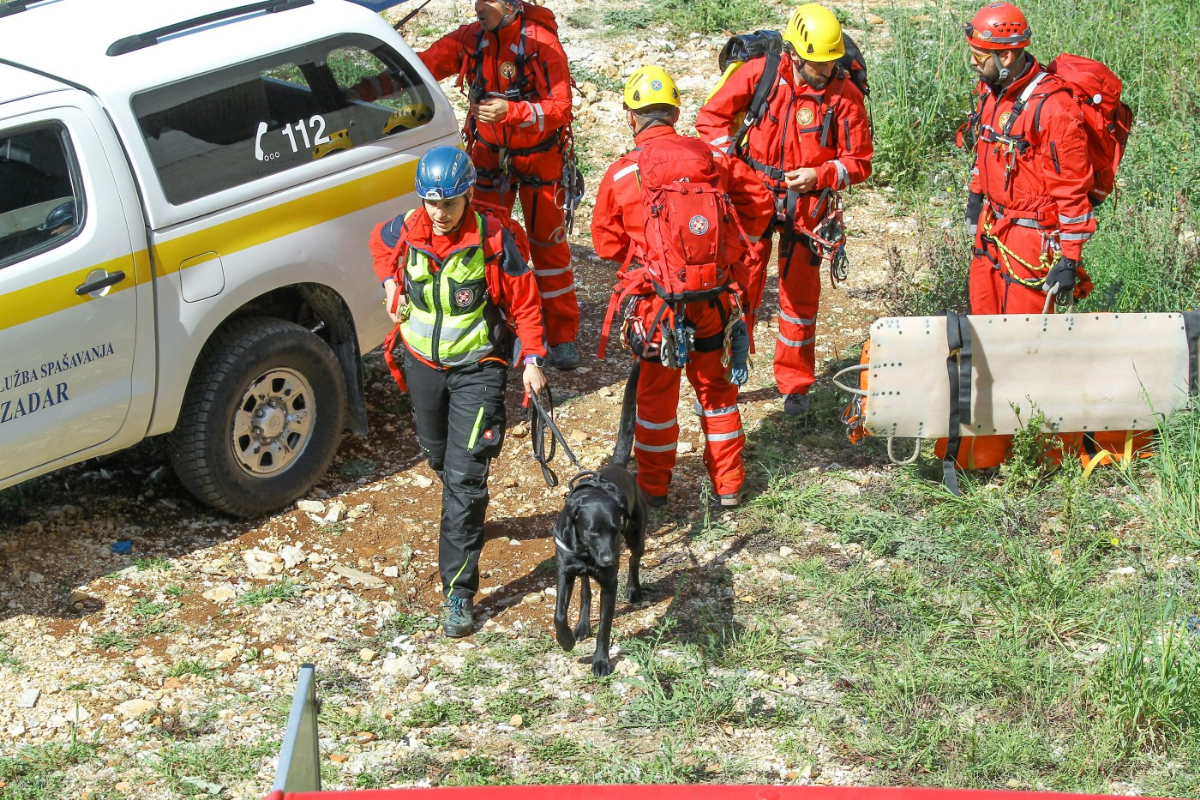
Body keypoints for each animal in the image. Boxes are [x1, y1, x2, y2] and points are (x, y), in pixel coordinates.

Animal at [552, 361, 646, 676]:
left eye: (615, 530)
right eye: (592, 531)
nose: (607, 560)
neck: (586, 552)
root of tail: (617, 466)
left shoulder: (609, 583)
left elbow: (605, 627)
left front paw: (602, 661)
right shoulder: (565, 571)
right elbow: (559, 614)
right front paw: (566, 639)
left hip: (637, 536)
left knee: (634, 560)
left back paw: (634, 589)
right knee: (584, 591)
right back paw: (581, 625)